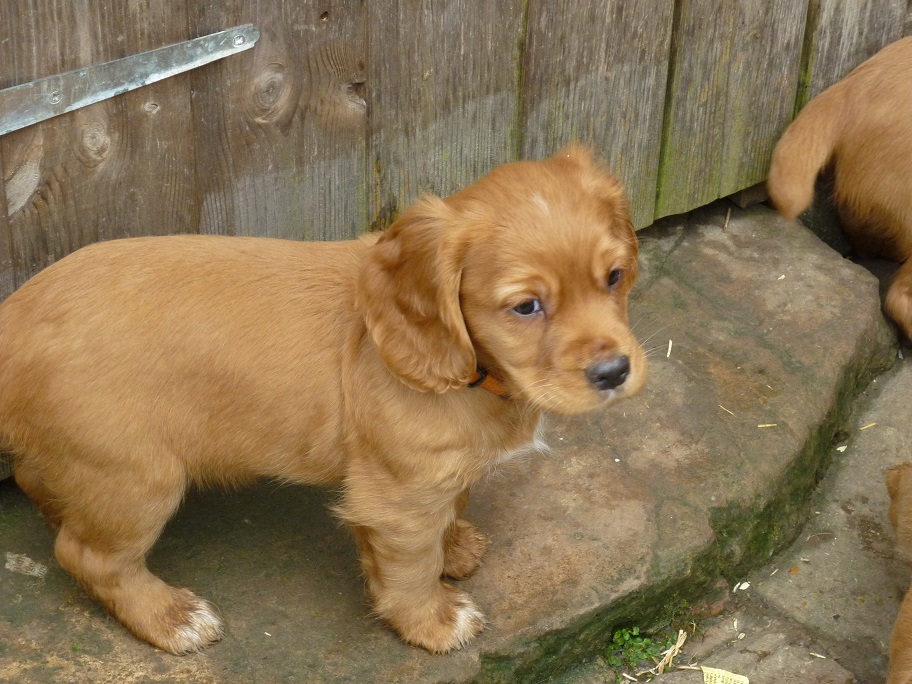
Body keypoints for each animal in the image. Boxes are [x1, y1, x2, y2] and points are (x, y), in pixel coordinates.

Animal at [0, 147, 648, 656]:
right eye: (526, 307)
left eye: (615, 277)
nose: (616, 371)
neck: (469, 374)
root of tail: (14, 318)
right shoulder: (399, 495)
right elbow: (409, 568)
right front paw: (433, 620)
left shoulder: (416, 480)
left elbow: (449, 507)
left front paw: (455, 545)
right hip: (136, 479)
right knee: (89, 556)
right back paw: (169, 617)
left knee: (40, 482)